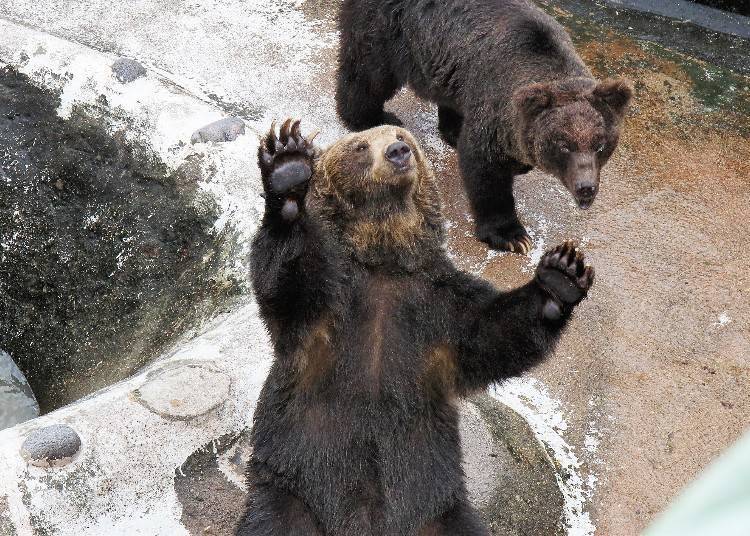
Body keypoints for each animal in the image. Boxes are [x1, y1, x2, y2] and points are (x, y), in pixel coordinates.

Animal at [238, 119, 596, 532]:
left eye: (401, 136)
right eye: (361, 146)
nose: (398, 152)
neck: (383, 258)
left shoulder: (436, 305)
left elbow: (493, 335)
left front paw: (561, 276)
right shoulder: (330, 305)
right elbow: (288, 286)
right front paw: (288, 168)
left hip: (437, 506)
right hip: (295, 484)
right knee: (274, 521)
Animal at [336, 0, 636, 253]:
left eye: (600, 144)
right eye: (563, 145)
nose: (586, 187)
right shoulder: (493, 100)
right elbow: (486, 171)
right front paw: (513, 236)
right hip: (387, 30)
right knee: (368, 73)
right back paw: (369, 117)